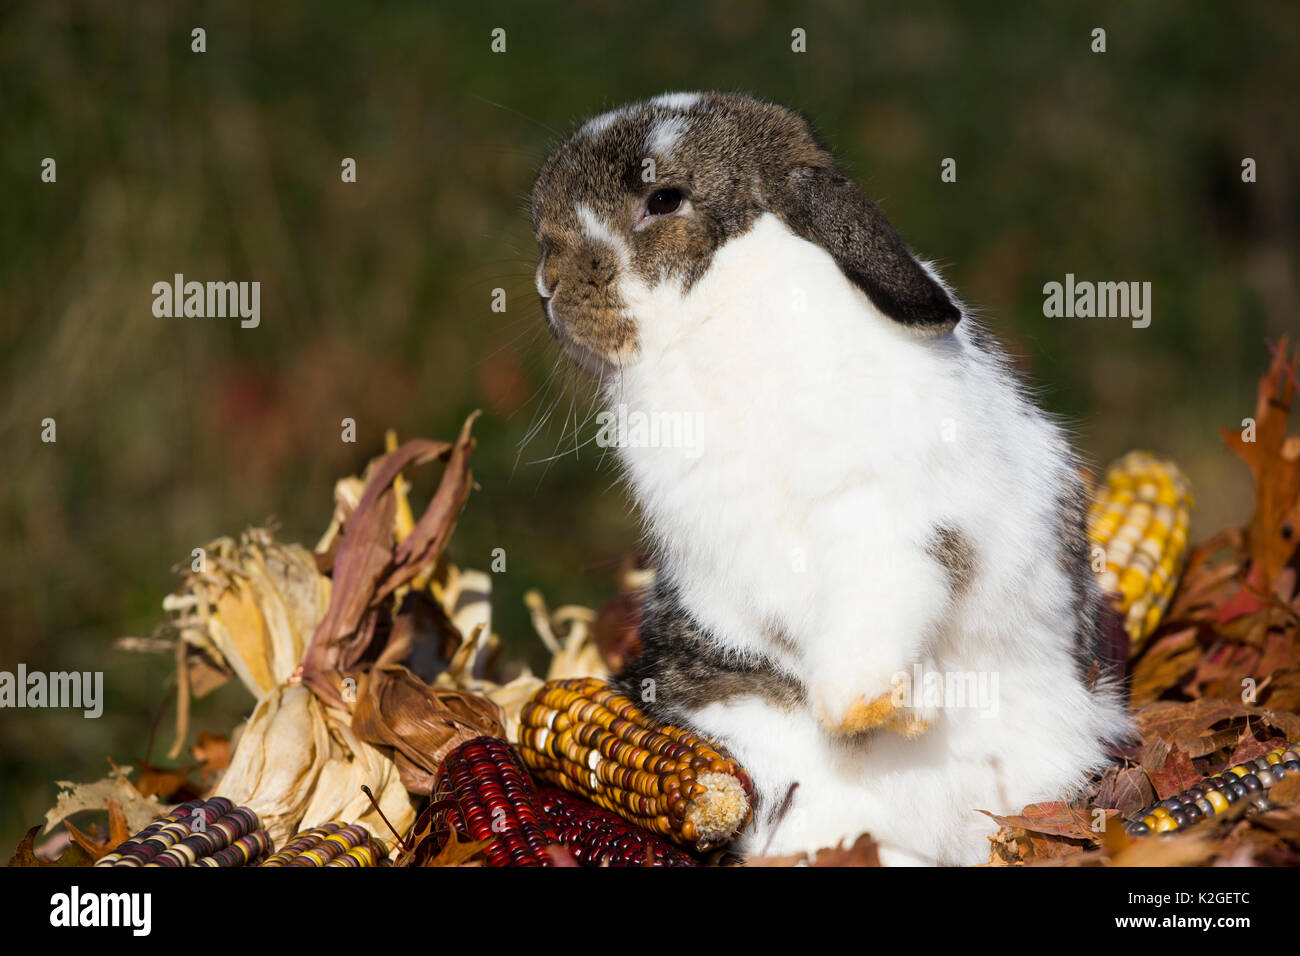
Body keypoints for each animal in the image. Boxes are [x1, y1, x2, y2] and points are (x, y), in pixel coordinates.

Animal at [522, 95, 1133, 868]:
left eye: (663, 199)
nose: (546, 281)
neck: (717, 314)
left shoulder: (888, 518)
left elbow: (880, 607)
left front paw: (867, 708)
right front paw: (896, 713)